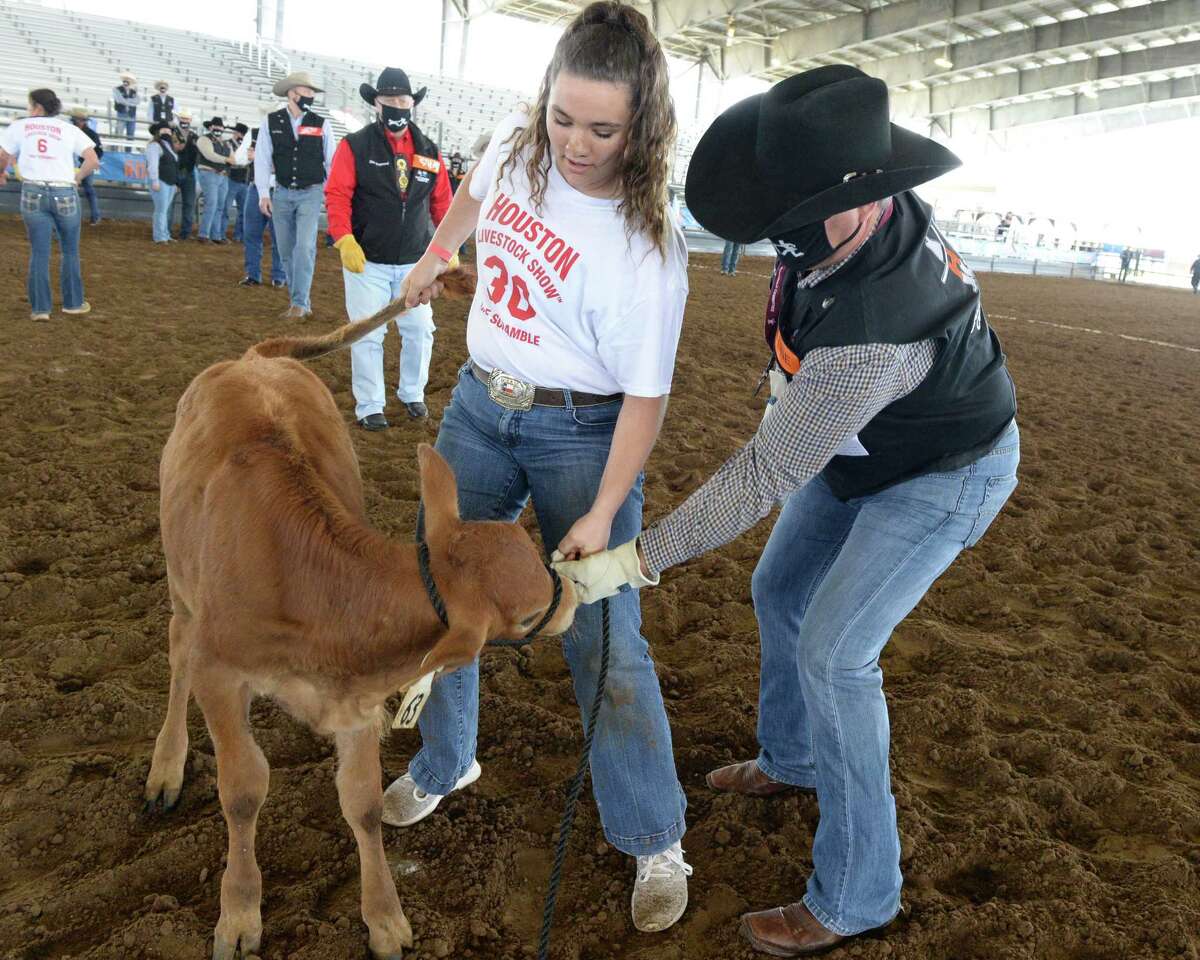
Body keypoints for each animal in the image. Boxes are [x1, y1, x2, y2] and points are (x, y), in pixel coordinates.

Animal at [143, 274, 578, 959]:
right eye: (532, 607)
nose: (575, 597)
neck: (321, 594)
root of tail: (253, 360)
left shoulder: (358, 699)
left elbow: (363, 803)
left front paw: (385, 918)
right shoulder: (221, 672)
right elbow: (242, 790)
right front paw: (238, 913)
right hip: (181, 582)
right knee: (177, 647)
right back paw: (165, 768)